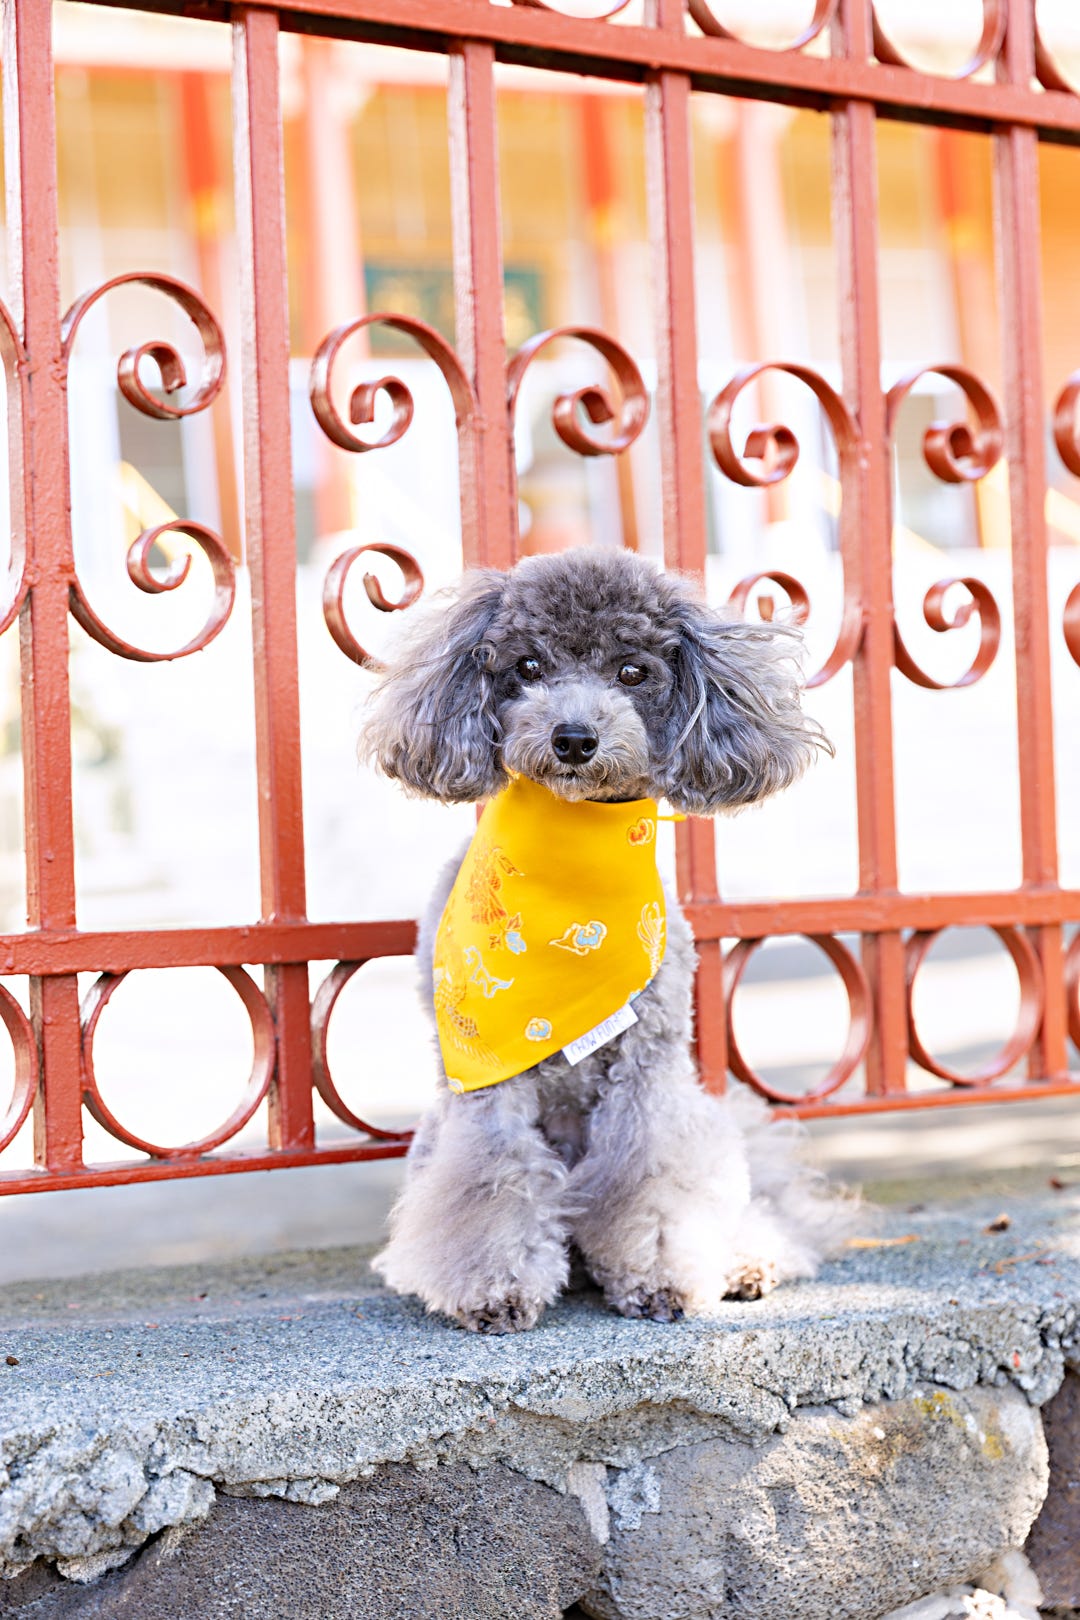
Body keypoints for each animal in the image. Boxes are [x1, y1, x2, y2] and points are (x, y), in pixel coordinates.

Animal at [365, 544, 854, 1328]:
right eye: (528, 666)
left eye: (632, 672)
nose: (573, 738)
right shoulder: (485, 1080)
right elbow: (491, 1178)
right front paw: (495, 1288)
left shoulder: (649, 1066)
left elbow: (651, 1174)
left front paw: (658, 1278)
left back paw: (749, 1261)